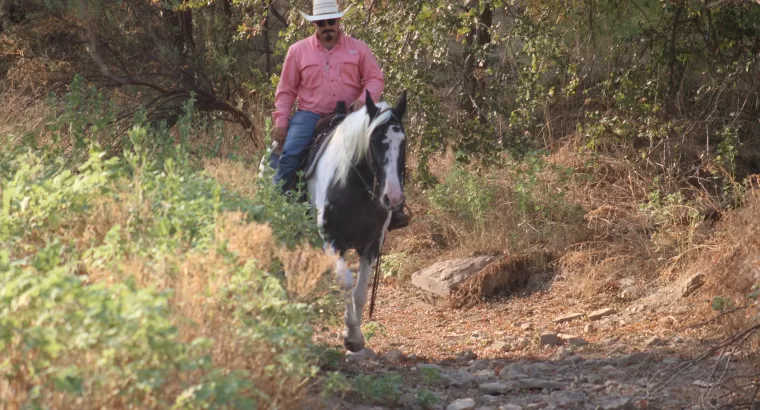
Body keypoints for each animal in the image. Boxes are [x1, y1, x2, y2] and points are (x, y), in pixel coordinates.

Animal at [306, 89, 406, 352]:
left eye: (403, 141)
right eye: (374, 141)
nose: (392, 197)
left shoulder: (372, 243)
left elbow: (361, 290)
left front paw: (357, 335)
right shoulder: (332, 239)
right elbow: (346, 281)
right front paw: (350, 334)